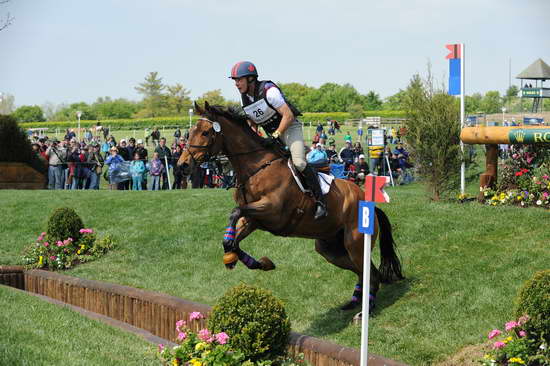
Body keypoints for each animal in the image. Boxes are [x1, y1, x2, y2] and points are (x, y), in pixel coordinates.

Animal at [179, 103, 404, 312]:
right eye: (190, 132)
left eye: (205, 132)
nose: (183, 165)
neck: (256, 169)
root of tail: (366, 200)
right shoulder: (254, 219)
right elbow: (234, 235)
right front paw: (255, 261)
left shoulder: (272, 210)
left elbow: (234, 212)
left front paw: (241, 255)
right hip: (330, 248)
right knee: (362, 271)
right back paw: (355, 301)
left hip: (354, 242)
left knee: (370, 273)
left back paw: (366, 308)